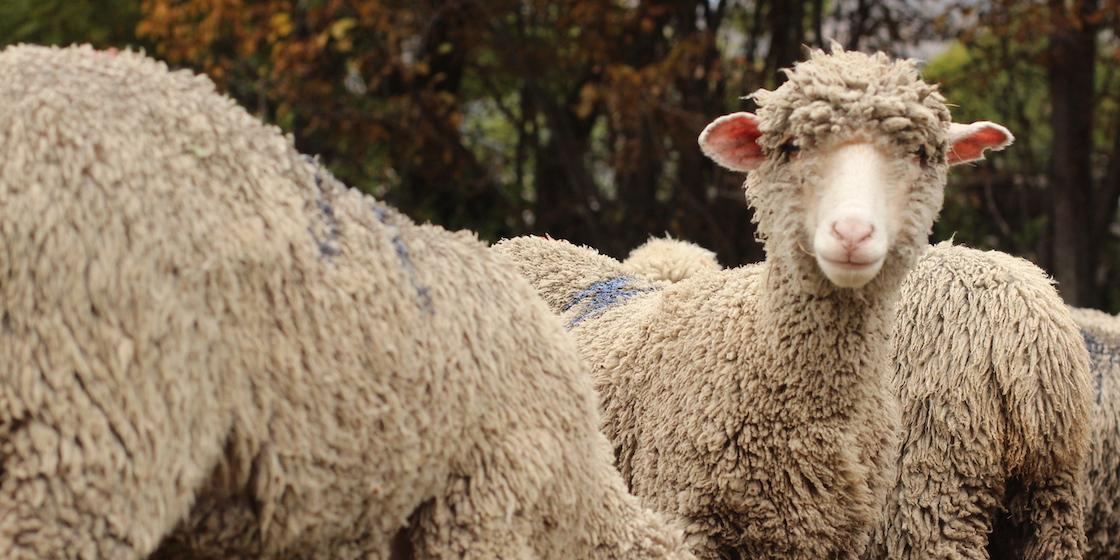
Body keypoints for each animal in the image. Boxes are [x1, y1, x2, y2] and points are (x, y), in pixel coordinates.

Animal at [490, 45, 1016, 557]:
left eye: (922, 153)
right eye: (792, 146)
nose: (852, 233)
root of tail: (527, 242)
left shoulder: (836, 535)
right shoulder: (686, 515)